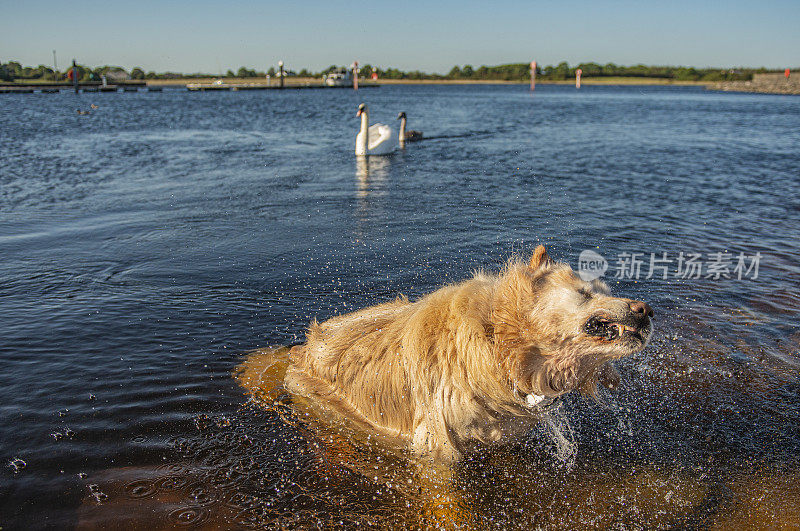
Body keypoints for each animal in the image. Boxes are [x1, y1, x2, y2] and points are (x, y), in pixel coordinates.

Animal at [284, 247, 652, 464]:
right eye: (584, 293)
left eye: (605, 290)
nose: (645, 310)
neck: (497, 349)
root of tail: (303, 346)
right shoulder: (436, 445)